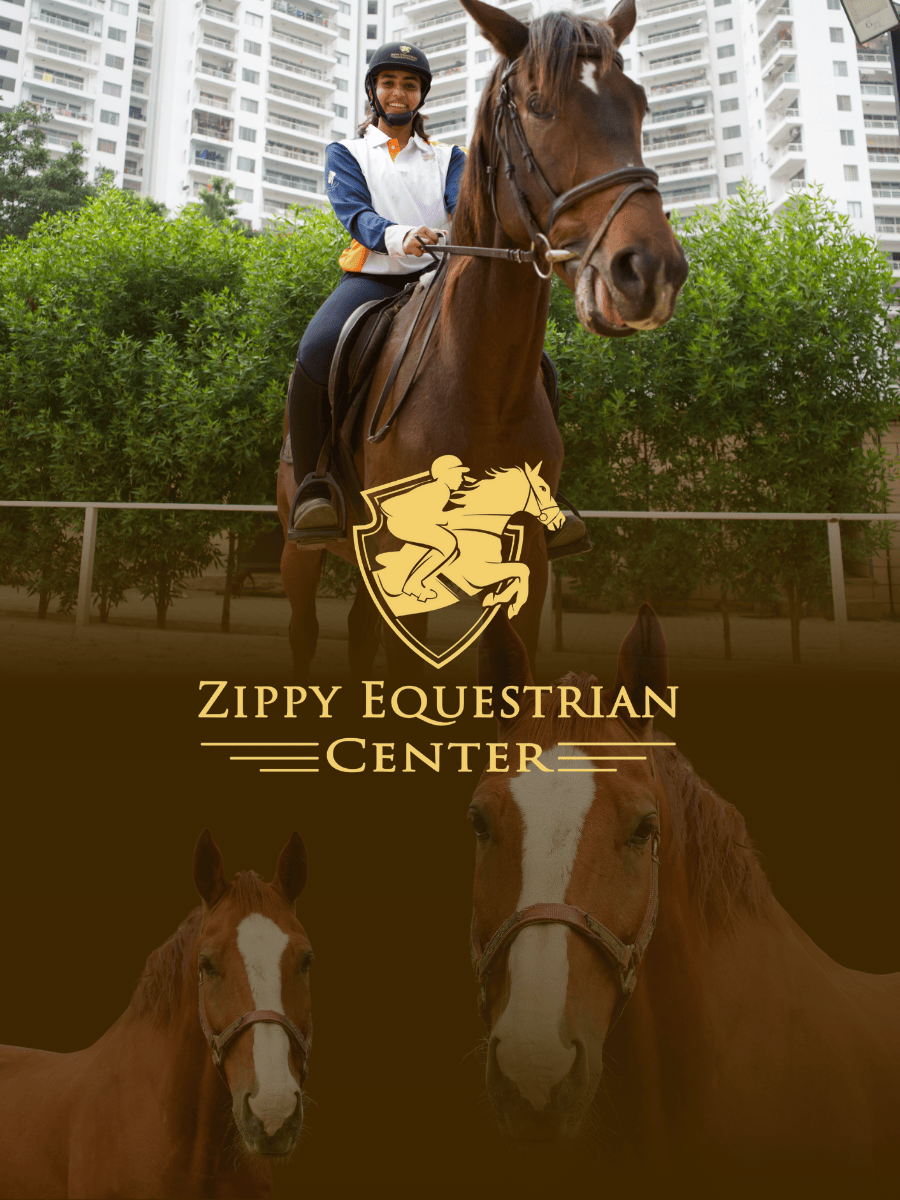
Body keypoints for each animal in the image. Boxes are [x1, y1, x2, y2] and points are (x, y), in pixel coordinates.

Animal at [277, 0, 688, 682]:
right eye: (538, 104)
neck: (482, 381)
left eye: (639, 104)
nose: (650, 271)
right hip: (299, 551)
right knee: (304, 634)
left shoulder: (532, 563)